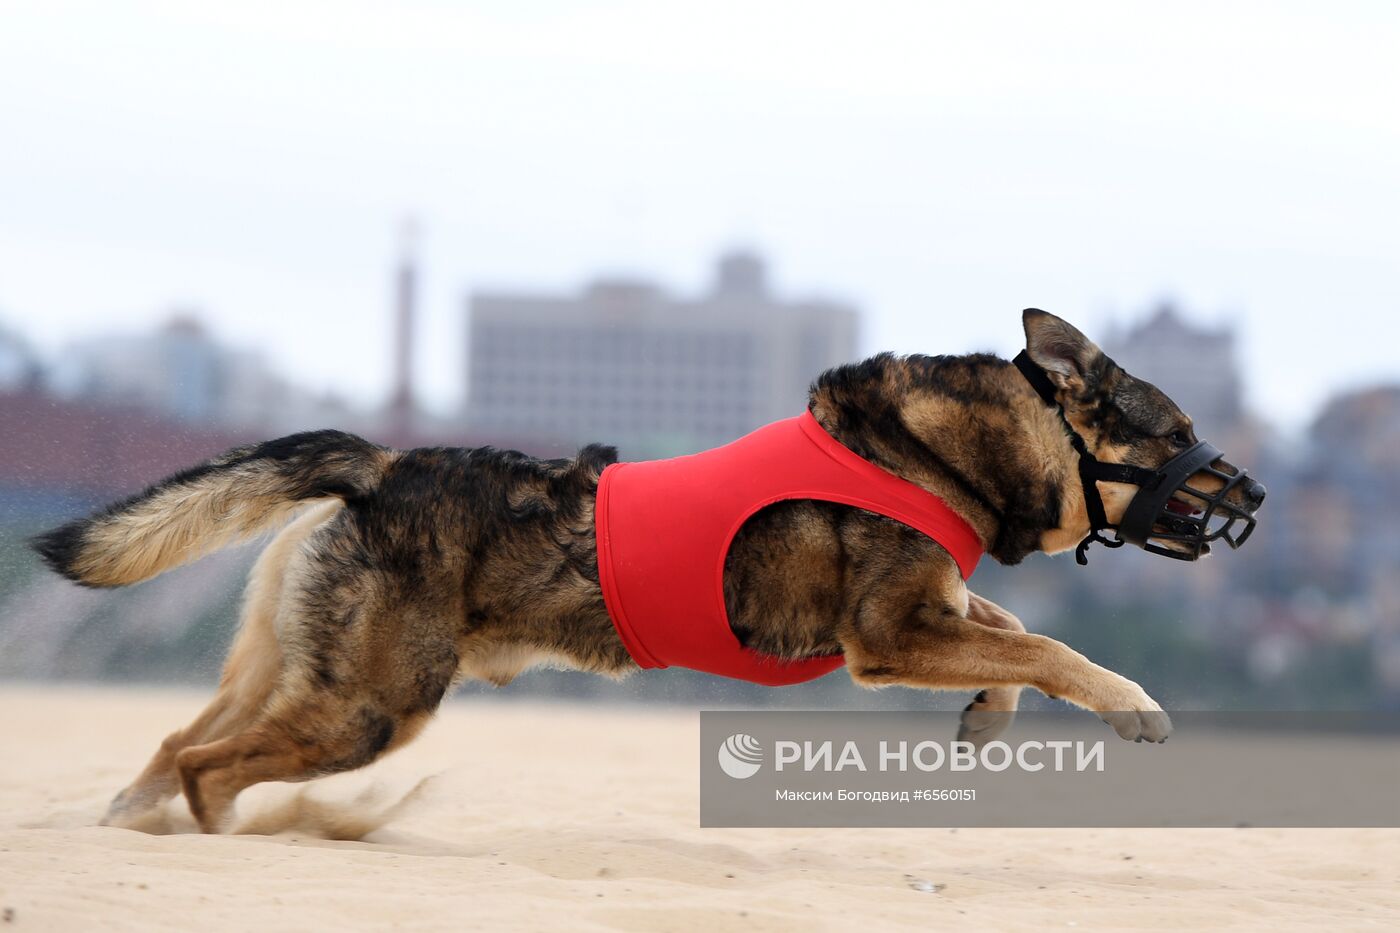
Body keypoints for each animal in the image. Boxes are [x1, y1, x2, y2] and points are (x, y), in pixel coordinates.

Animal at [30, 311, 1260, 829]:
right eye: (1178, 429)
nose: (1250, 494)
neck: (934, 449)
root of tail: (381, 465)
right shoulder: (886, 638)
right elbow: (1047, 640)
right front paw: (1131, 704)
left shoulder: (921, 615)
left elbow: (1009, 629)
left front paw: (988, 713)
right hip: (368, 707)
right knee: (209, 770)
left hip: (296, 674)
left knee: (175, 745)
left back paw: (133, 826)